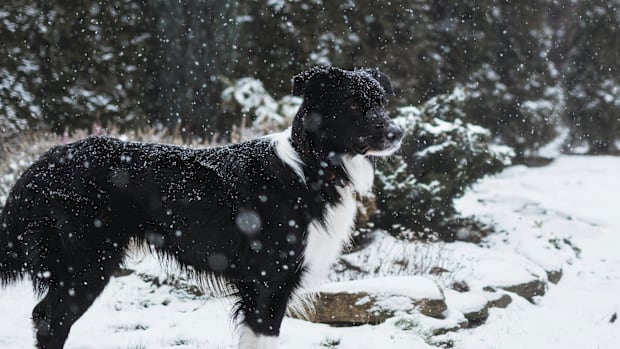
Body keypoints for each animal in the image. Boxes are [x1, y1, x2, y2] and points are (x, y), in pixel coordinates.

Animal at [0, 64, 402, 346]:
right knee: (50, 321)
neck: (310, 166)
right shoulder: (269, 284)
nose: (397, 132)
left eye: (382, 103)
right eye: (353, 105)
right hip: (87, 263)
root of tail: (41, 164)